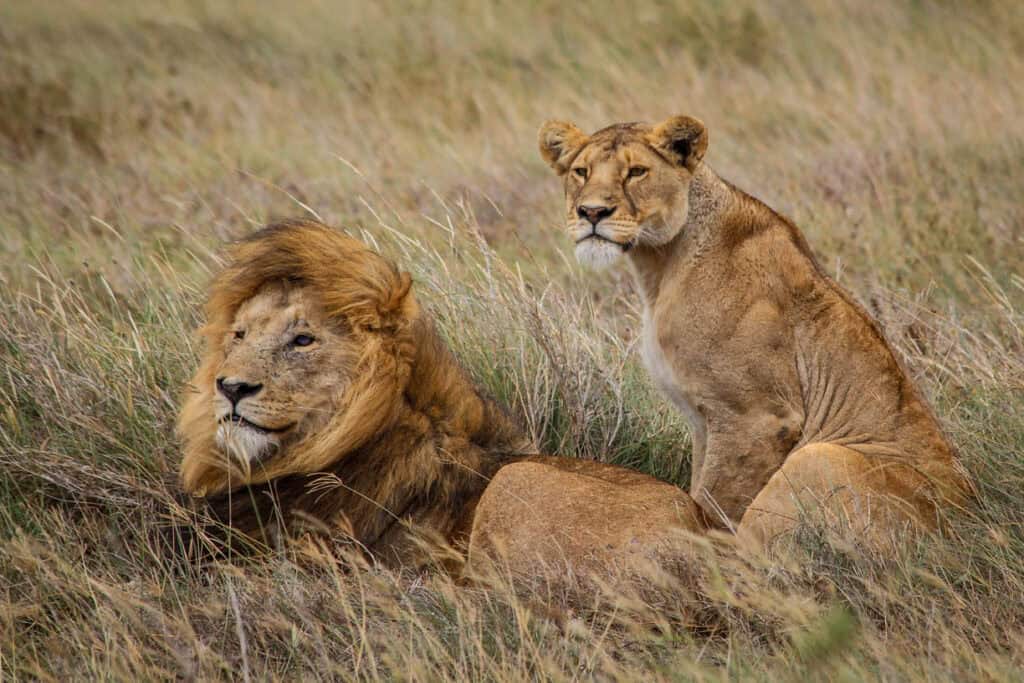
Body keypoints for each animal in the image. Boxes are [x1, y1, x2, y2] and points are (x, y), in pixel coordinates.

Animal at [540, 114, 970, 548]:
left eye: (636, 172)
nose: (592, 212)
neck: (658, 266)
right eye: (581, 172)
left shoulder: (757, 417)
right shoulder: (705, 422)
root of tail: (964, 523)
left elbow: (714, 506)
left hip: (820, 455)